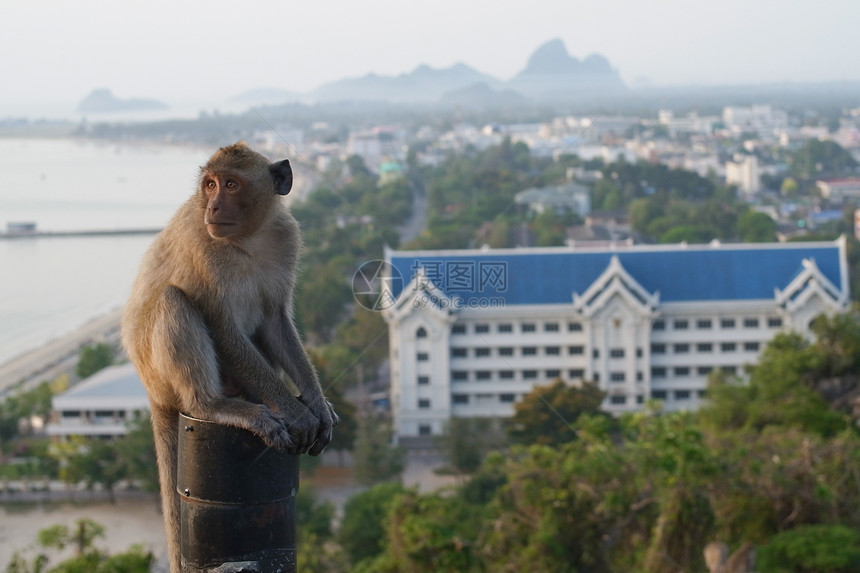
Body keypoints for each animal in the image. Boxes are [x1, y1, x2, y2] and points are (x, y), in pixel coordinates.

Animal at [122, 141, 338, 568]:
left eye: (232, 184)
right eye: (210, 184)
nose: (214, 206)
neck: (248, 240)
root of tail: (151, 392)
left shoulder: (286, 238)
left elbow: (275, 322)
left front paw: (316, 404)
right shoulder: (202, 244)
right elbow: (222, 327)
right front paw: (296, 412)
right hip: (161, 372)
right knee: (174, 301)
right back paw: (215, 405)